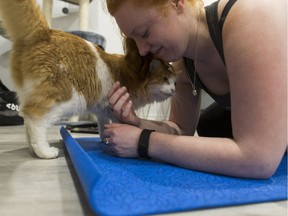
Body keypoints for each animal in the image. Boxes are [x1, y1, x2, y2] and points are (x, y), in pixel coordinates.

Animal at [0, 0, 176, 159]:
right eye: (165, 79)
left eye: (175, 82)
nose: (174, 90)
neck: (128, 73)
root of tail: (45, 32)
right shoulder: (115, 111)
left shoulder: (103, 111)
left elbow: (103, 126)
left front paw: (105, 139)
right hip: (65, 99)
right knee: (34, 119)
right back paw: (44, 151)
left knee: (26, 120)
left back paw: (32, 149)